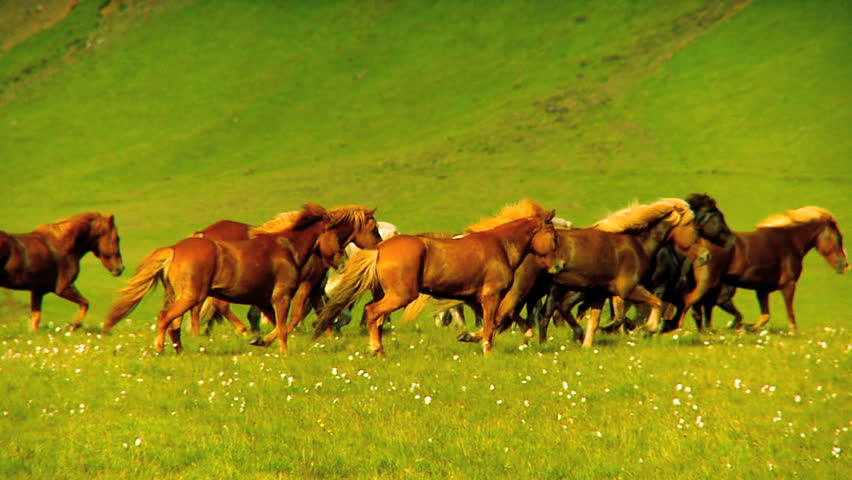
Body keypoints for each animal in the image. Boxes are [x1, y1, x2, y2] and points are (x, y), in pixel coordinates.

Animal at [102, 204, 370, 353]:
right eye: (338, 236)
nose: (343, 263)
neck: (287, 247)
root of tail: (174, 249)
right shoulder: (283, 295)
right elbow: (285, 326)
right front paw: (283, 352)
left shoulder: (265, 300)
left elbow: (279, 324)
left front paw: (261, 341)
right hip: (191, 296)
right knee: (166, 318)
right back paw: (161, 348)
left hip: (179, 295)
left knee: (175, 324)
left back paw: (181, 350)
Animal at [313, 199, 563, 356]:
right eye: (553, 236)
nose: (560, 265)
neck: (500, 246)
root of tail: (380, 249)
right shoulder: (491, 296)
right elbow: (492, 324)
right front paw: (486, 351)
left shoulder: (477, 299)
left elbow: (500, 320)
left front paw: (468, 336)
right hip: (401, 296)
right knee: (372, 312)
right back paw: (376, 349)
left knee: (375, 316)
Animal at [676, 206, 847, 332]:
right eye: (839, 238)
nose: (845, 266)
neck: (790, 241)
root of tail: (698, 246)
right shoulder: (788, 285)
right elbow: (790, 316)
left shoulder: (762, 290)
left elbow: (765, 316)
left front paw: (743, 327)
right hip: (706, 283)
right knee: (689, 301)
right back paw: (678, 329)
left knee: (698, 307)